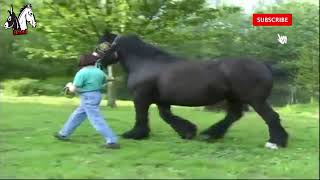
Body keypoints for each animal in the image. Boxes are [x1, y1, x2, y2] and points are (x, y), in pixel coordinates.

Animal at [93, 31, 290, 149]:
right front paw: (187, 131)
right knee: (234, 115)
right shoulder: (162, 100)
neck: (145, 63)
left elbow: (141, 116)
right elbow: (167, 116)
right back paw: (210, 134)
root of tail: (265, 66)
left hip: (255, 100)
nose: (95, 62)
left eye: (100, 46)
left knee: (271, 117)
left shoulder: (141, 97)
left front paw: (135, 134)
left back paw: (275, 143)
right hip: (235, 98)